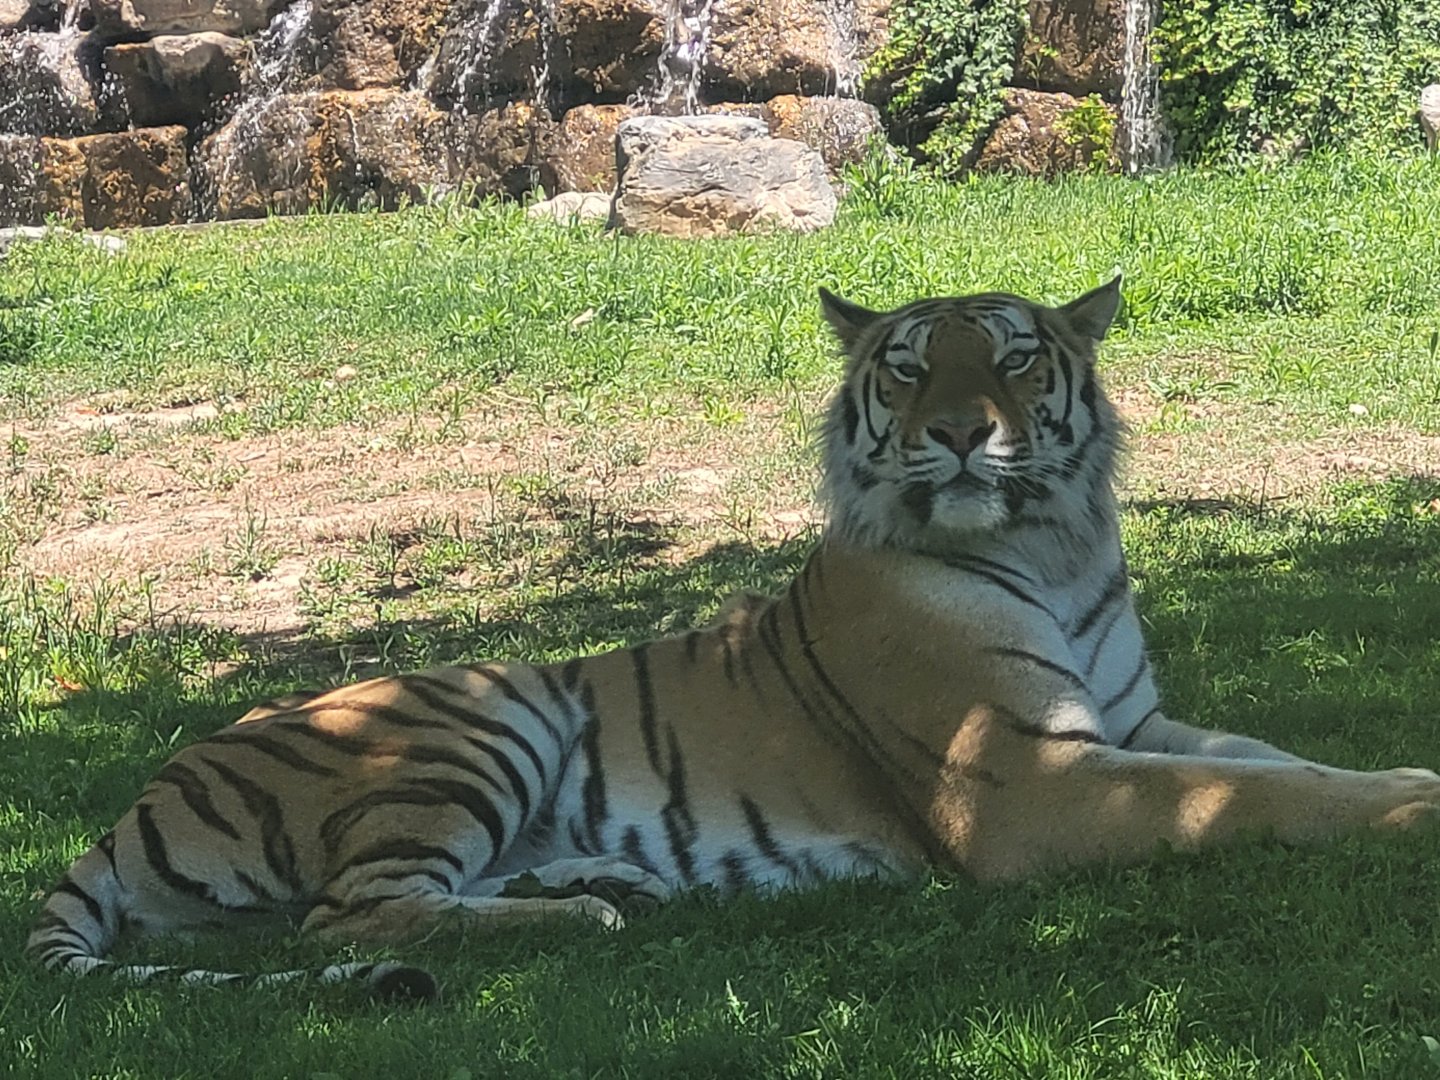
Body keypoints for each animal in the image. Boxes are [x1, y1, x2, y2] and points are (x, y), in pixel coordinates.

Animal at [29, 277, 1440, 1001]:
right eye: (911, 366)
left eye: (1018, 359)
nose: (961, 432)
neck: (1055, 540)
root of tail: (140, 794)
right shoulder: (1030, 780)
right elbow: (1247, 798)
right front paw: (1415, 808)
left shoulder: (1136, 723)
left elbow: (1276, 763)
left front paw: (1403, 776)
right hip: (479, 713)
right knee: (351, 920)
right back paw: (585, 921)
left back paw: (605, 883)